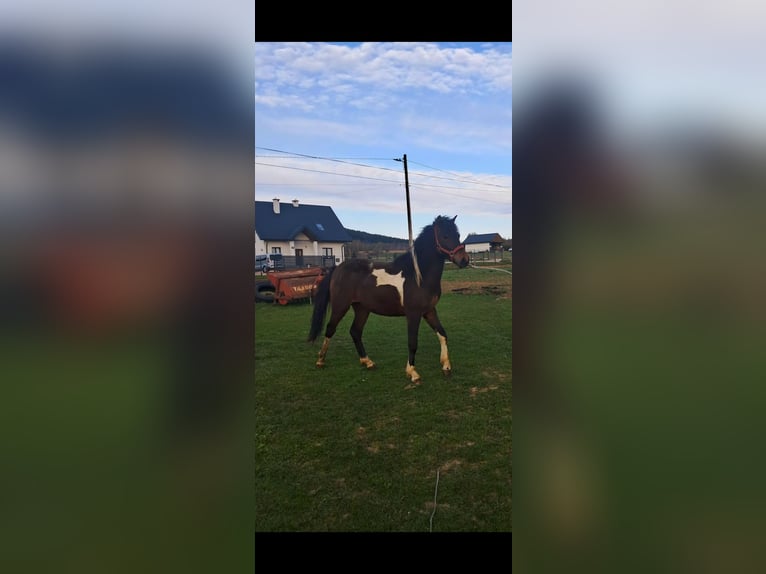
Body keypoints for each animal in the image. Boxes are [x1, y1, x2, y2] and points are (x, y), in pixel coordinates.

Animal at [307, 215, 470, 384]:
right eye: (445, 236)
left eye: (458, 235)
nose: (464, 260)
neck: (418, 276)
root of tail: (337, 269)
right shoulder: (413, 314)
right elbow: (412, 342)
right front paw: (412, 373)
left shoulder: (429, 311)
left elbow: (442, 334)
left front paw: (446, 366)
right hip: (341, 306)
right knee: (330, 328)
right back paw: (320, 360)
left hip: (362, 309)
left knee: (355, 331)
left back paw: (367, 362)